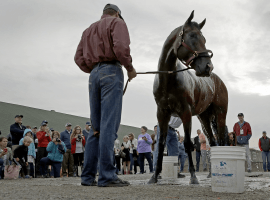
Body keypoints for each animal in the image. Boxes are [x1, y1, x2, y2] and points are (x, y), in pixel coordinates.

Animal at [149, 10, 229, 184]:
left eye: (204, 39)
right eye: (192, 36)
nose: (208, 67)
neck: (169, 79)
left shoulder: (185, 113)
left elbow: (187, 143)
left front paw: (193, 176)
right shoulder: (162, 113)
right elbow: (161, 144)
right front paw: (154, 176)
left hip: (220, 114)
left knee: (220, 140)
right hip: (204, 119)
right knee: (213, 142)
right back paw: (211, 174)